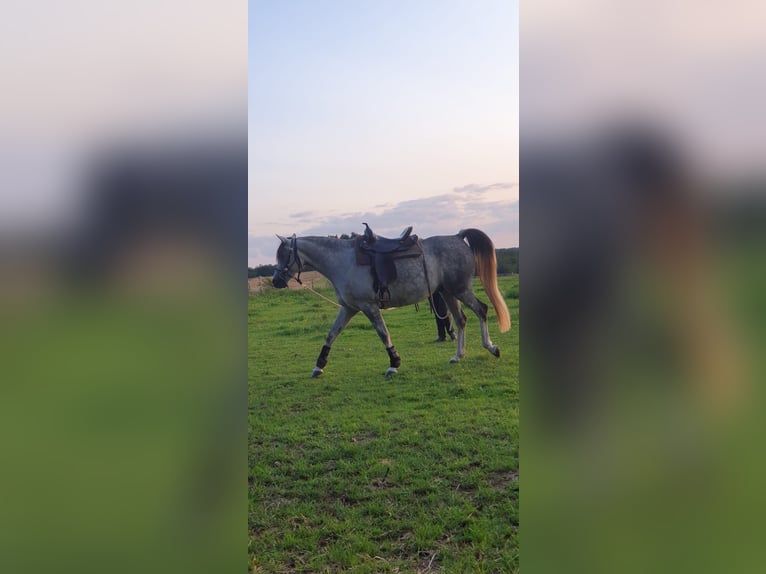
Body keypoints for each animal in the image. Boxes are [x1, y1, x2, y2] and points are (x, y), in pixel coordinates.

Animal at [271, 228, 511, 377]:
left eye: (283, 256)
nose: (275, 281)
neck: (342, 261)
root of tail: (457, 236)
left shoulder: (368, 307)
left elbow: (383, 333)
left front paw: (394, 364)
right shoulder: (349, 308)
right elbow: (331, 334)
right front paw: (319, 366)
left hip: (460, 290)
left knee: (482, 310)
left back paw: (491, 347)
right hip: (448, 293)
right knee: (461, 320)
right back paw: (458, 356)